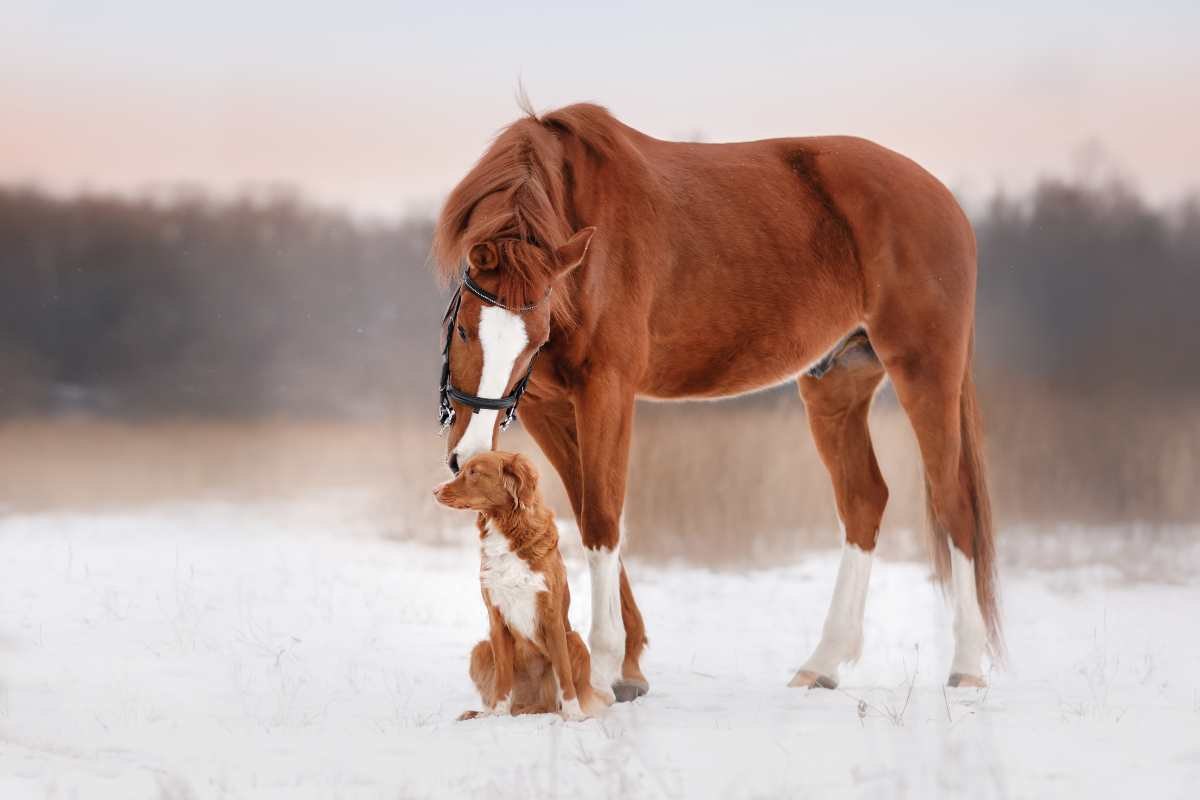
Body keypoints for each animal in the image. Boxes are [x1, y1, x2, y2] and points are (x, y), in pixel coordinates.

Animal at [432, 453, 609, 724]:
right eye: (462, 470)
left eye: (474, 472)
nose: (435, 490)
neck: (506, 529)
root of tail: (532, 703)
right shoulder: (496, 617)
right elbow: (503, 677)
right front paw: (497, 714)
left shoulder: (552, 617)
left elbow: (564, 674)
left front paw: (575, 715)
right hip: (481, 649)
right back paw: (485, 712)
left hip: (574, 639)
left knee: (553, 701)